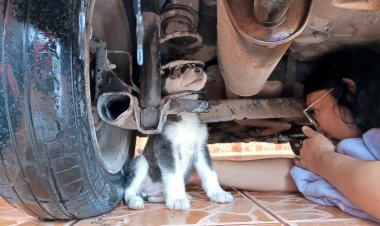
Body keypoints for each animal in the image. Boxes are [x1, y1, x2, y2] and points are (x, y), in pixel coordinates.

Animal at [123, 64, 233, 210]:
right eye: (177, 71)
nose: (200, 69)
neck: (186, 114)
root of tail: (150, 192)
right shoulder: (166, 147)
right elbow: (173, 174)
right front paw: (177, 199)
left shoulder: (200, 148)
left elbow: (209, 172)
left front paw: (218, 193)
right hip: (141, 163)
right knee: (129, 189)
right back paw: (134, 200)